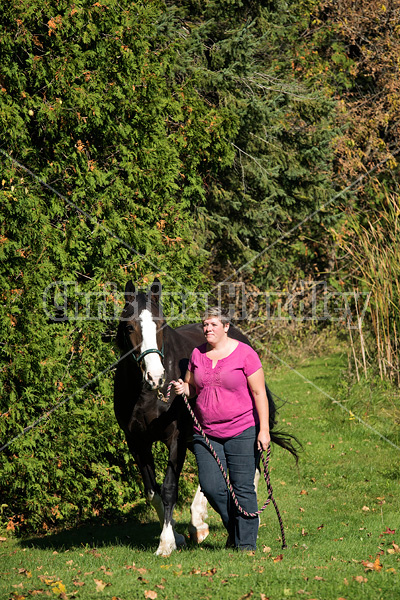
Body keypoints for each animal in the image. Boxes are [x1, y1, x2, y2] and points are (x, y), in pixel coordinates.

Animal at [112, 278, 296, 556]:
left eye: (160, 324)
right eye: (129, 326)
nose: (156, 376)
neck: (147, 396)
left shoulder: (175, 438)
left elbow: (169, 488)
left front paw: (165, 543)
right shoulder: (137, 442)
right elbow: (152, 493)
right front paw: (176, 536)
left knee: (249, 467)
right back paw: (198, 522)